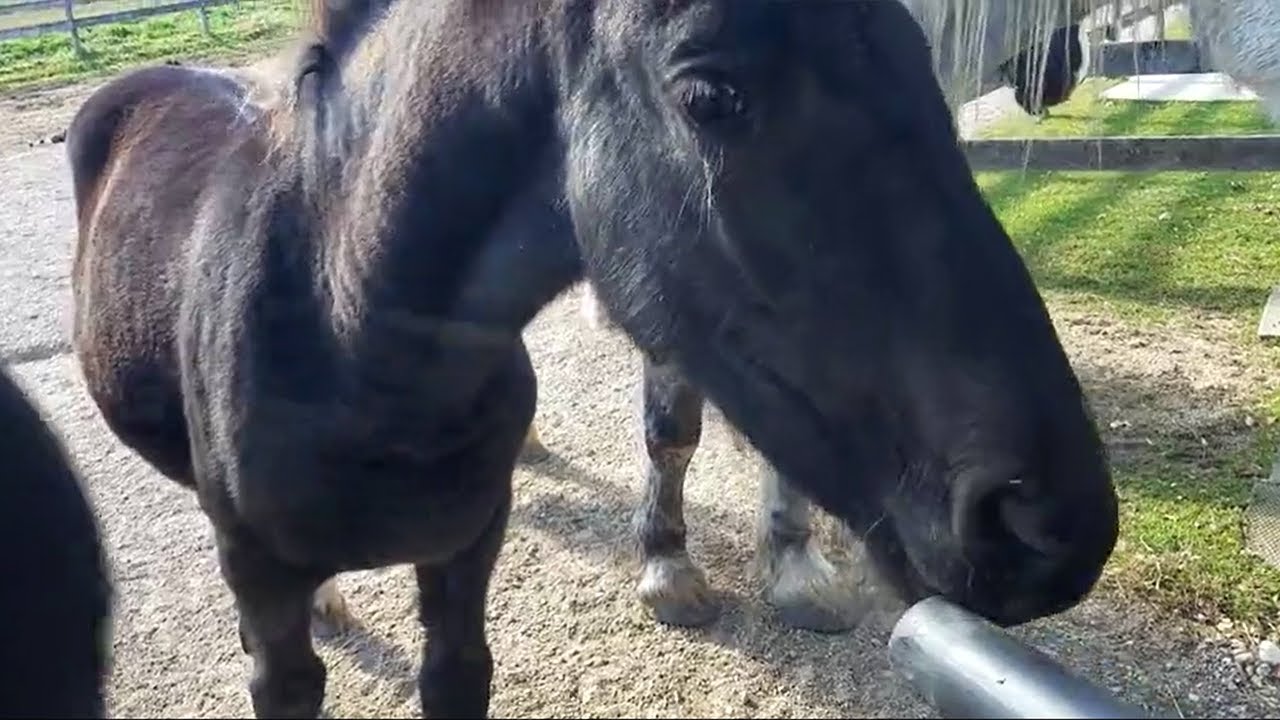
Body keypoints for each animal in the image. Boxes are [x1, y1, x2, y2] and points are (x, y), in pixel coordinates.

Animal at [66, 0, 1122, 716]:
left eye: (920, 51)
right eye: (710, 94)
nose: (1050, 521)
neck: (345, 341)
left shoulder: (464, 563)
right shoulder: (268, 620)